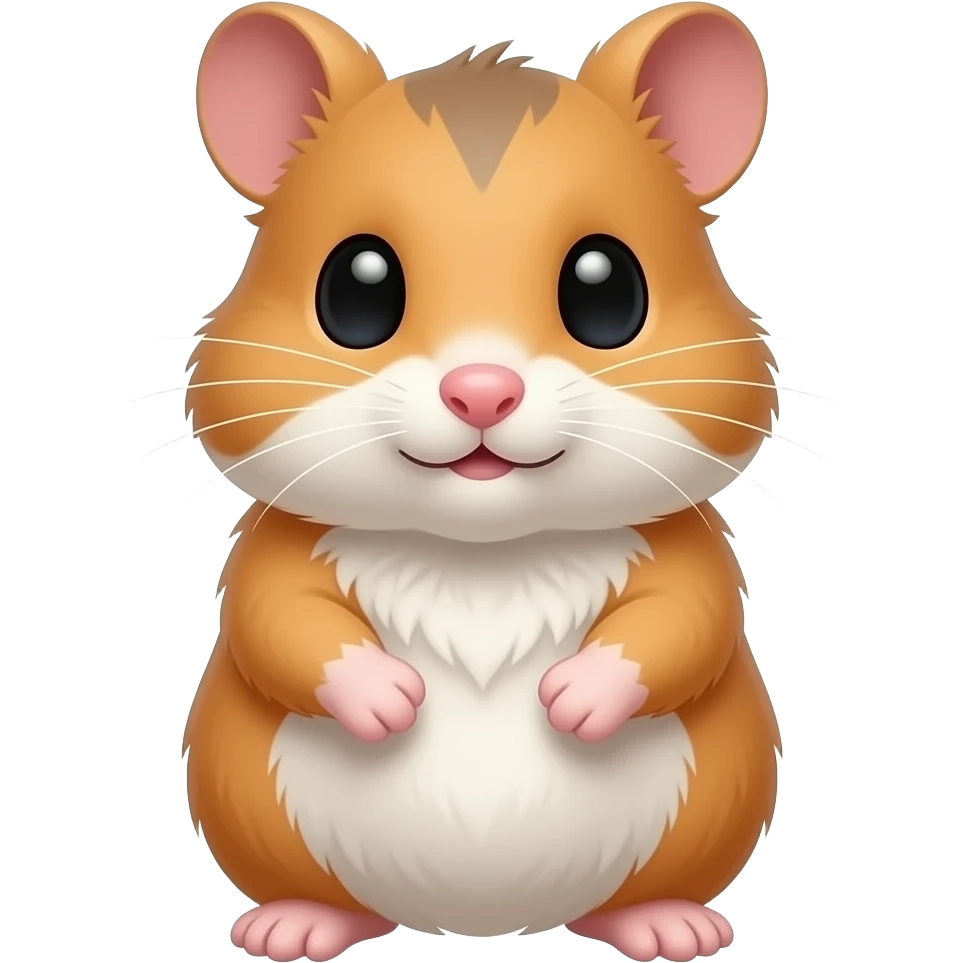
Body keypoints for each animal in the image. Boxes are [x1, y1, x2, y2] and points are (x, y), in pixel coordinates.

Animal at [184, 3, 781, 961]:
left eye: (606, 291)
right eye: (356, 292)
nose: (481, 390)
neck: (481, 552)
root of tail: (482, 921)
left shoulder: (690, 554)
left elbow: (681, 625)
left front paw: (575, 698)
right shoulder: (271, 554)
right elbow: (281, 626)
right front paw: (387, 698)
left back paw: (667, 925)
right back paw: (296, 925)